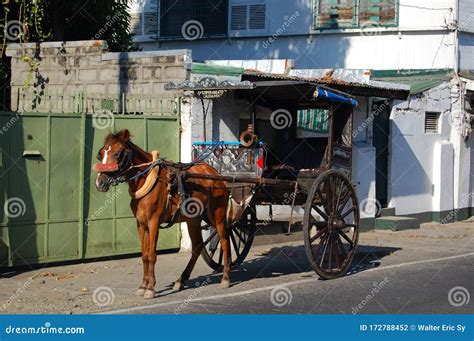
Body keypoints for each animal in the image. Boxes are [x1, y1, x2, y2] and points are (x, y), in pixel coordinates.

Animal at [93, 129, 231, 298]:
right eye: (100, 154)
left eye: (118, 153)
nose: (100, 183)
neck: (147, 180)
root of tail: (216, 174)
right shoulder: (141, 224)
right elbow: (144, 255)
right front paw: (143, 285)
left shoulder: (154, 222)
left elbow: (152, 255)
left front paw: (151, 288)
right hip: (193, 220)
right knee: (197, 247)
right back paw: (181, 280)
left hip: (217, 216)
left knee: (225, 241)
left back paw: (226, 278)